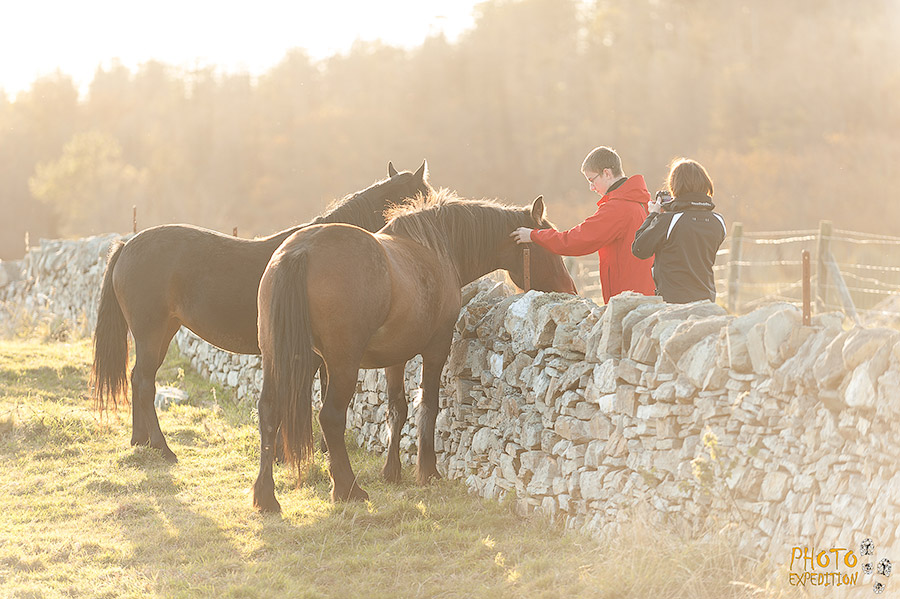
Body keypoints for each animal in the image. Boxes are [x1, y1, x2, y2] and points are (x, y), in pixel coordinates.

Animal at [92, 162, 432, 462]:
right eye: (424, 198)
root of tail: (127, 245)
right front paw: (288, 454)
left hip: (163, 332)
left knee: (137, 378)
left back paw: (140, 441)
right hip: (151, 333)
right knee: (144, 382)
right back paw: (162, 449)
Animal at [253, 189, 576, 510]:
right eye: (546, 247)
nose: (570, 290)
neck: (437, 249)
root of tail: (301, 251)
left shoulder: (393, 357)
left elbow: (397, 409)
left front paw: (391, 471)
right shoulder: (436, 347)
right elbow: (429, 405)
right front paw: (428, 470)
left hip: (282, 359)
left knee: (269, 411)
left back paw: (266, 496)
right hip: (342, 364)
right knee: (330, 418)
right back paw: (349, 489)